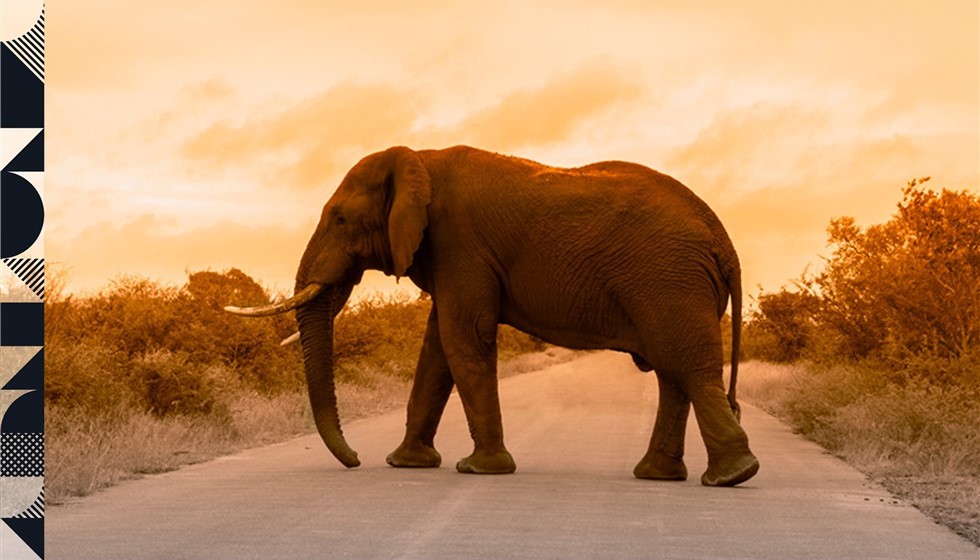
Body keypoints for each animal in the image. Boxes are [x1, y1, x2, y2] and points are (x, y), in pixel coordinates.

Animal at [228, 144, 756, 486]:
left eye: (339, 219)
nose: (355, 459)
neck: (419, 158)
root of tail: (724, 240)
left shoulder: (459, 242)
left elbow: (463, 337)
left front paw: (478, 469)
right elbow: (437, 350)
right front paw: (406, 464)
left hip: (669, 279)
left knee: (686, 367)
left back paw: (732, 476)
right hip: (673, 283)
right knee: (674, 374)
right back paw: (660, 476)